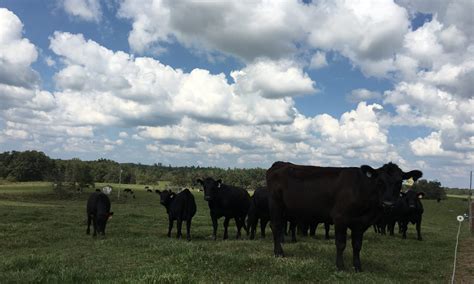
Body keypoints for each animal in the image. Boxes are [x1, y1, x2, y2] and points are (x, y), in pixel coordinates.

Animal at [266, 161, 422, 272]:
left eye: (399, 182)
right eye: (379, 181)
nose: (388, 204)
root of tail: (280, 164)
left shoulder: (361, 223)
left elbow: (357, 245)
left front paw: (358, 267)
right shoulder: (340, 218)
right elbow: (341, 244)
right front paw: (340, 266)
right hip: (276, 203)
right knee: (276, 226)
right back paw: (278, 253)